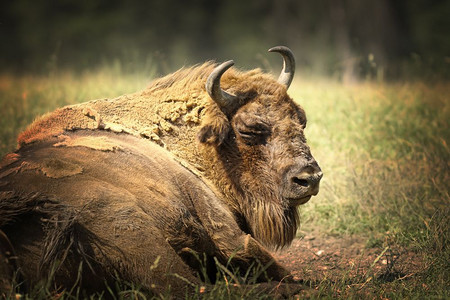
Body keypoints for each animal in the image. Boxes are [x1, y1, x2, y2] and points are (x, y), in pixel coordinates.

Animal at [0, 47, 324, 298]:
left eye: (301, 120)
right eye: (248, 130)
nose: (308, 178)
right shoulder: (225, 231)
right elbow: (255, 254)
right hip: (130, 225)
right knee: (192, 289)